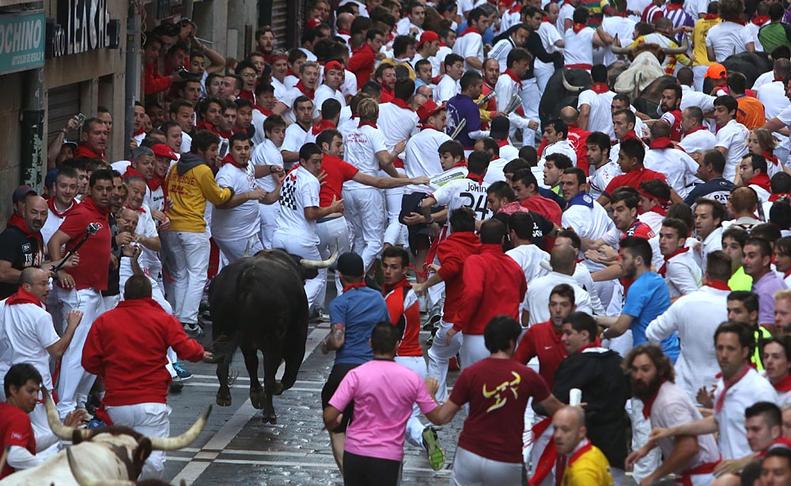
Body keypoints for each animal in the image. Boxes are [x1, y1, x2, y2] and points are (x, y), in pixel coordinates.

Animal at [210, 249, 312, 424]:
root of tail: (246, 277)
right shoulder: (296, 338)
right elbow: (289, 375)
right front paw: (272, 390)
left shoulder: (247, 344)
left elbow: (251, 364)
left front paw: (256, 395)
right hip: (273, 341)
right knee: (270, 373)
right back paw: (269, 413)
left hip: (222, 330)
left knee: (223, 363)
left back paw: (224, 396)